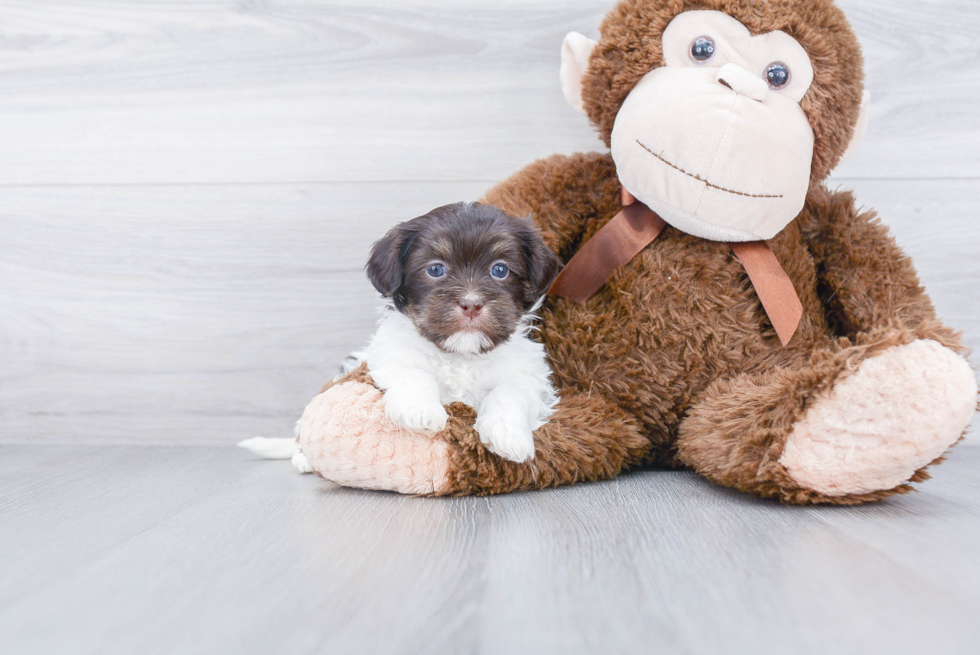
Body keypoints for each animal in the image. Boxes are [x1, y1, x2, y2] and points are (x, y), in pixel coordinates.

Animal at [358, 202, 560, 464]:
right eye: (435, 269)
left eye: (500, 270)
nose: (471, 304)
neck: (462, 354)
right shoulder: (392, 350)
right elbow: (414, 372)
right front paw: (420, 411)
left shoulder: (528, 372)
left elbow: (511, 391)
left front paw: (507, 434)